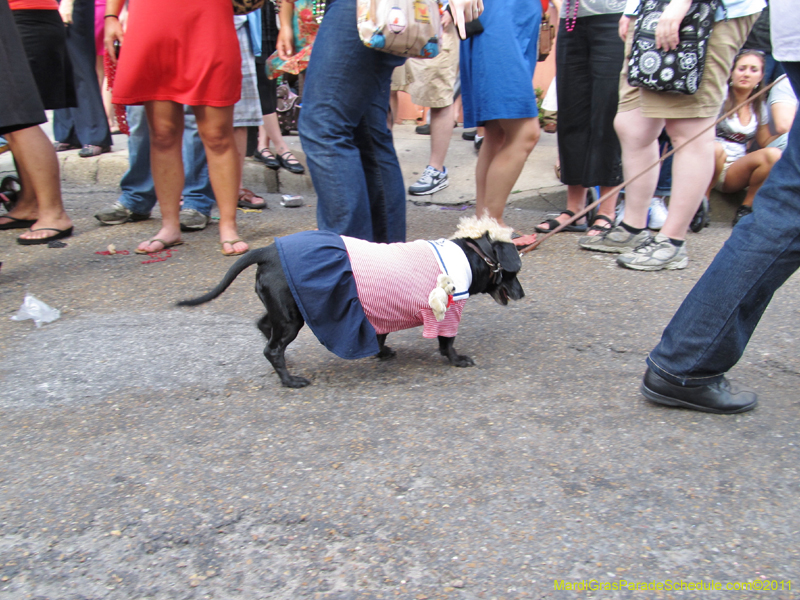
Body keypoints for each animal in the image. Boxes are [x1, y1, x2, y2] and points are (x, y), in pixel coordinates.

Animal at [177, 218, 520, 386]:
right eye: (513, 272)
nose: (522, 293)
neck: (474, 255)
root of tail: (268, 251)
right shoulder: (448, 313)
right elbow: (447, 343)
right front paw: (457, 360)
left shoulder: (379, 311)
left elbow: (380, 336)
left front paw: (382, 353)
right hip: (291, 319)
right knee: (272, 348)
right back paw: (289, 380)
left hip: (284, 310)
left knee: (264, 327)